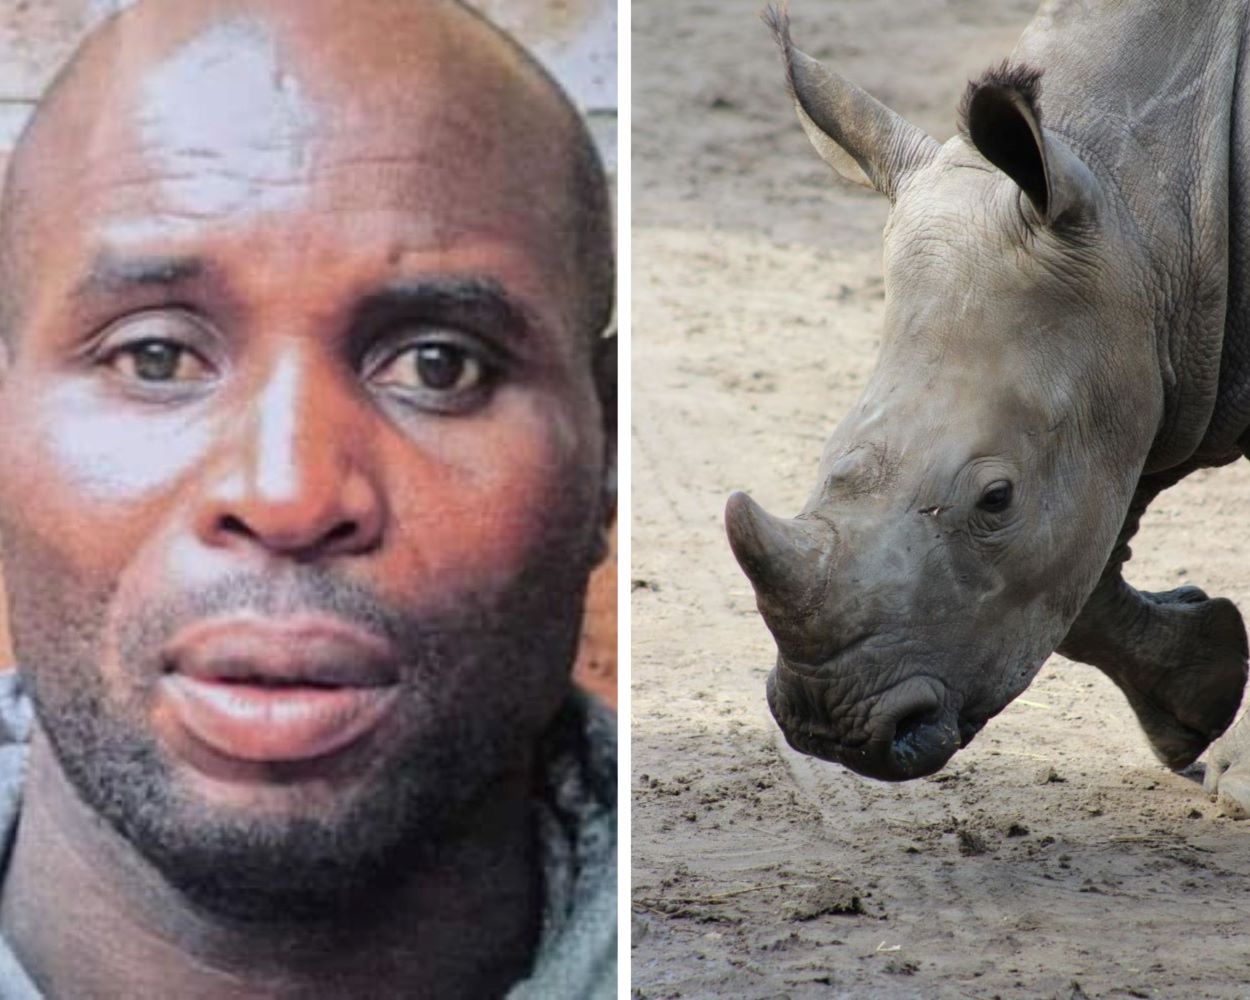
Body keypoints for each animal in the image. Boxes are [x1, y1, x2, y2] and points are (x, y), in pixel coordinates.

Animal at [725, 1, 1250, 809]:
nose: (828, 727)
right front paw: (1202, 689)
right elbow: (1080, 578)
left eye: (996, 498)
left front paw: (1238, 777)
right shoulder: (1165, 358)